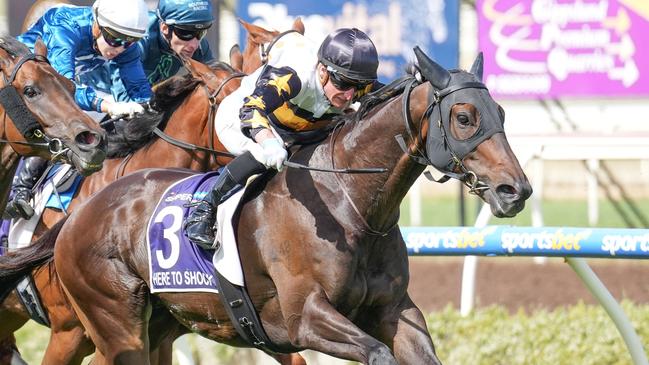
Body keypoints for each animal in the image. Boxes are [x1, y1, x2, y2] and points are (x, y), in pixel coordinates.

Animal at [2, 47, 532, 362]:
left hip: (159, 327)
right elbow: (374, 353)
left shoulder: (394, 311)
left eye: (501, 113)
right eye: (464, 117)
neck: (352, 208)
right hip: (111, 326)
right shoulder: (305, 318)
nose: (517, 191)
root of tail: (79, 216)